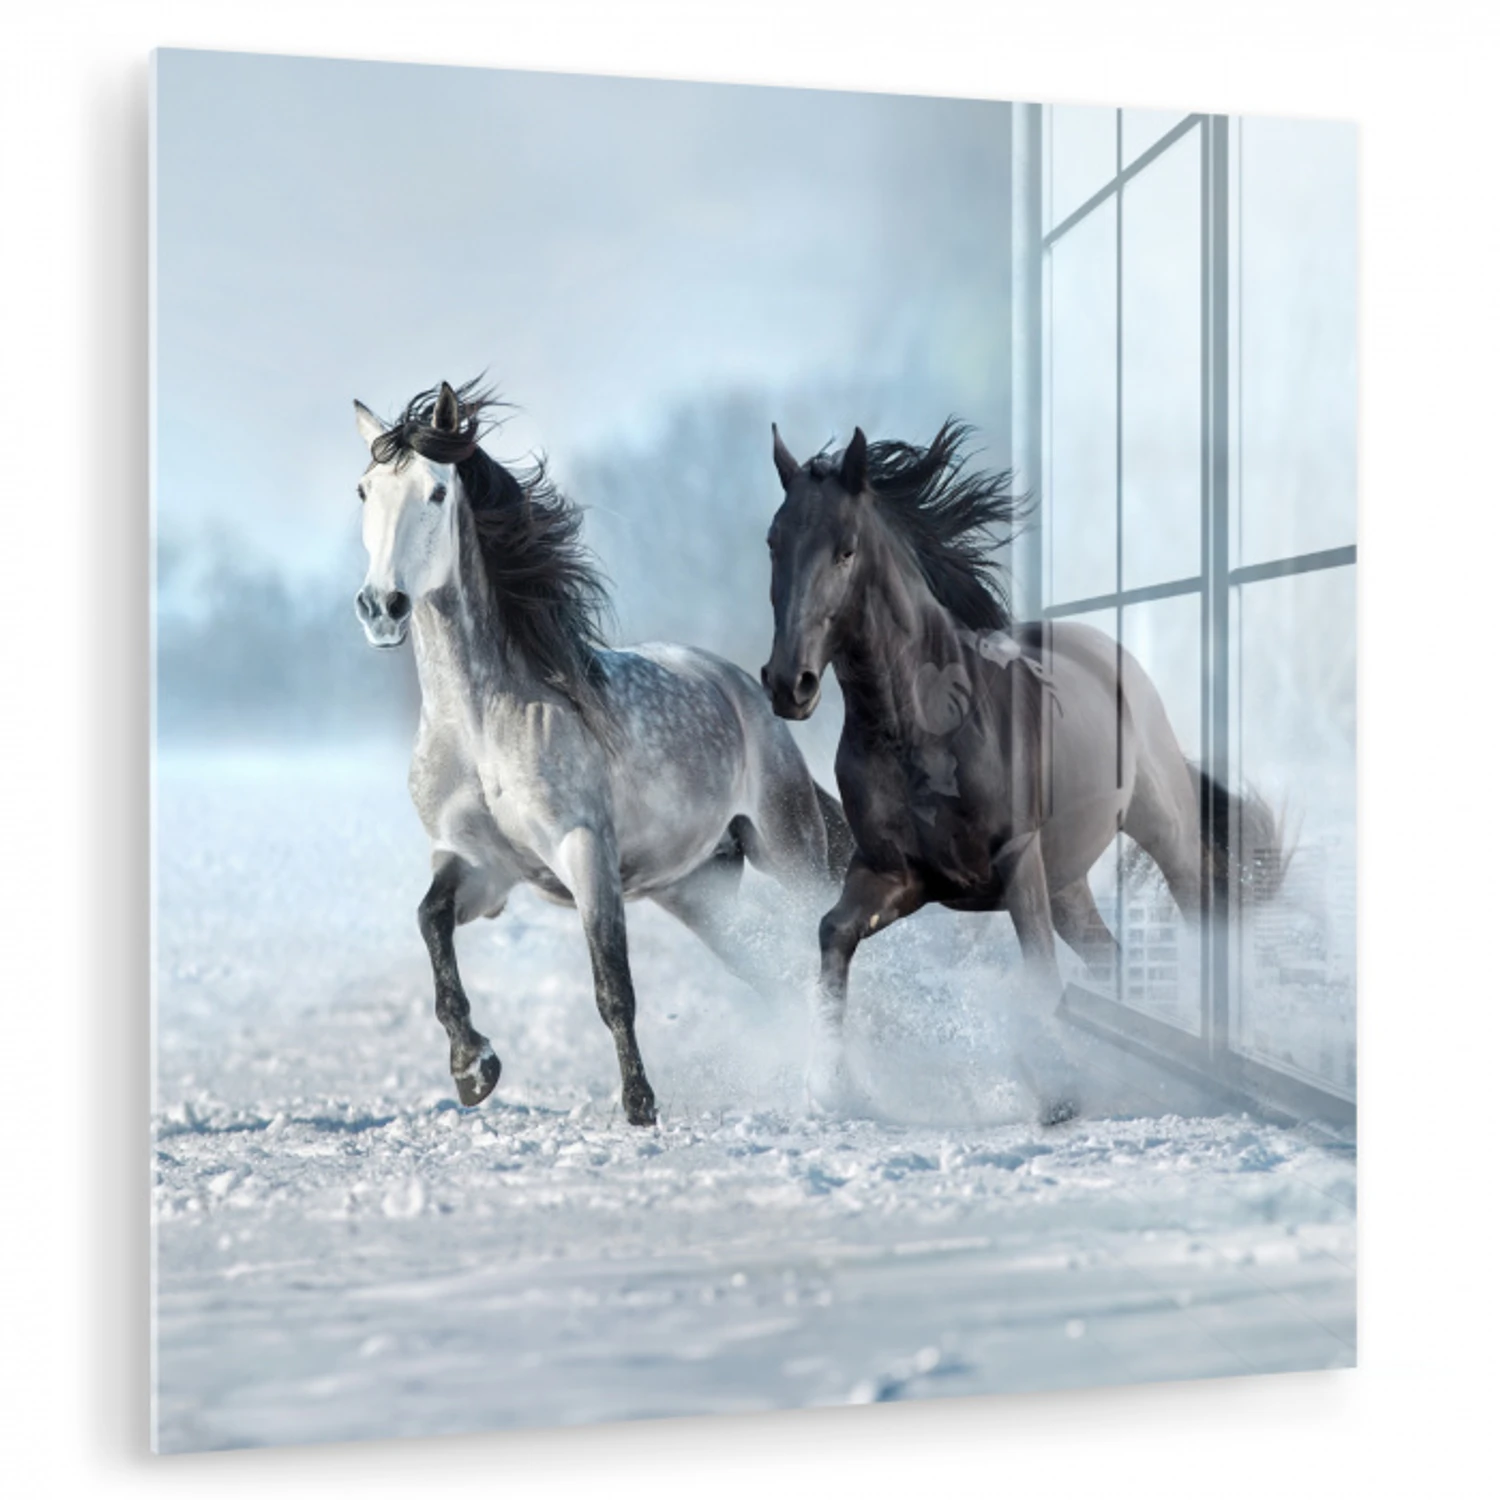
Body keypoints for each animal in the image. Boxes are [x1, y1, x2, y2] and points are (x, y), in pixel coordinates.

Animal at [351, 378, 849, 1125]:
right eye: (364, 490)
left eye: (436, 492)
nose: (381, 607)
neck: (481, 725)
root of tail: (743, 686)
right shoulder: (478, 864)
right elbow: (431, 923)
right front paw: (474, 1067)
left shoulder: (585, 851)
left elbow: (613, 984)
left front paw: (640, 1106)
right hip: (697, 890)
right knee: (772, 968)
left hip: (788, 849)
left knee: (819, 943)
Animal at [760, 419, 1281, 1123]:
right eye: (773, 542)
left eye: (846, 550)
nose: (790, 683)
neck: (921, 726)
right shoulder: (894, 873)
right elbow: (834, 934)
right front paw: (833, 1086)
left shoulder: (1015, 858)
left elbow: (1037, 972)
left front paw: (1058, 1092)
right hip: (1067, 883)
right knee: (1109, 958)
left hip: (1157, 830)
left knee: (1199, 911)